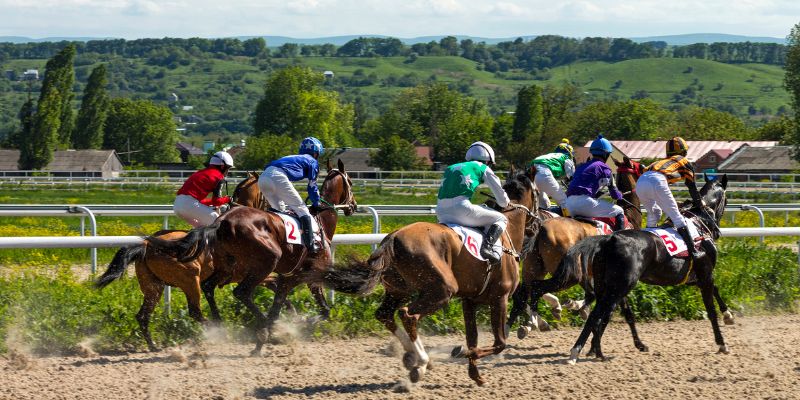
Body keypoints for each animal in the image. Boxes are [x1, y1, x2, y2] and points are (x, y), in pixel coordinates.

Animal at [306, 171, 536, 384]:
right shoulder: (500, 297)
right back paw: (422, 361)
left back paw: (414, 357)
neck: (507, 234)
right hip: (442, 290)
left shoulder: (469, 300)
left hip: (399, 289)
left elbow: (473, 338)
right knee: (408, 315)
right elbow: (499, 343)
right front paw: (462, 353)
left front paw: (475, 373)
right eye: (537, 192)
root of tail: (393, 237)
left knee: (385, 314)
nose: (536, 226)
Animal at [510, 156, 648, 334]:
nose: (646, 168)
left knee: (523, 292)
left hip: (535, 266)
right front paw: (577, 307)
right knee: (534, 289)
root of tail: (541, 226)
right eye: (638, 166)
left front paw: (579, 308)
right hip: (565, 273)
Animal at [564, 174, 732, 362]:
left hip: (605, 285)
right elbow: (711, 310)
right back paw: (581, 350)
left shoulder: (694, 278)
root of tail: (608, 240)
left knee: (600, 312)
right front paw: (722, 343)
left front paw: (728, 315)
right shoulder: (705, 275)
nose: (717, 231)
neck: (699, 223)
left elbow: (715, 290)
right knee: (599, 313)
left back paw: (591, 347)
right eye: (726, 200)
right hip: (621, 286)